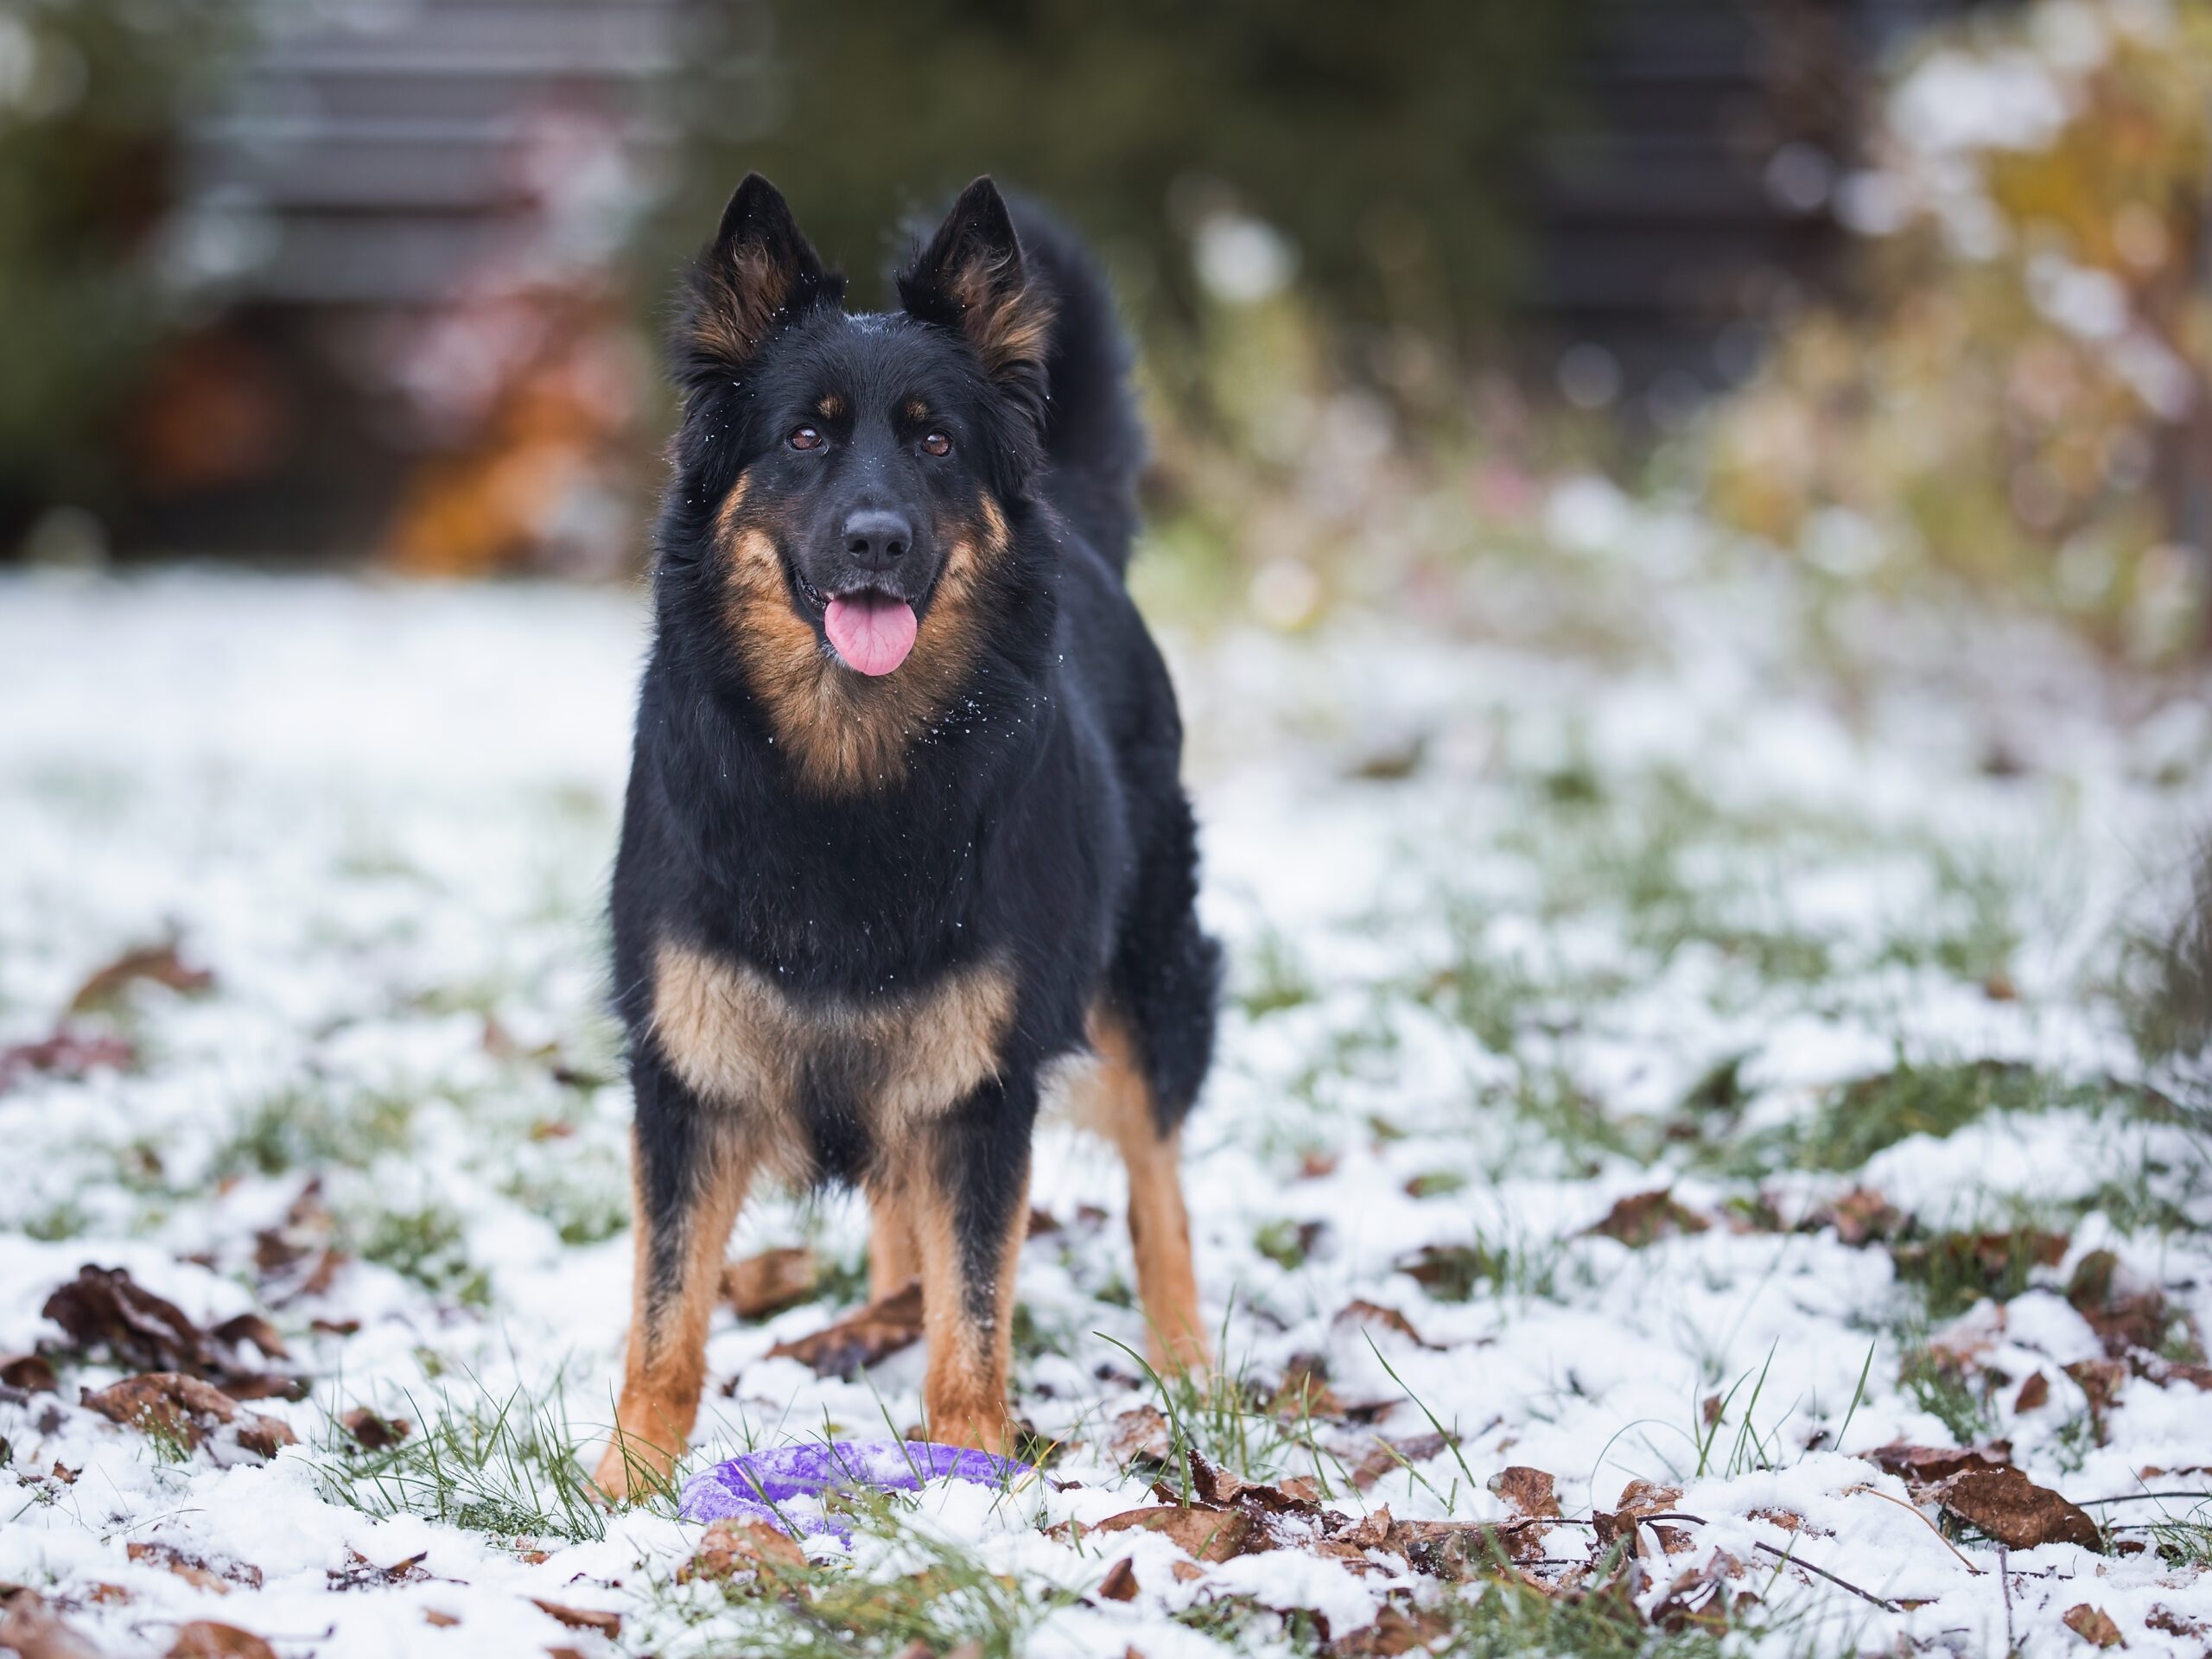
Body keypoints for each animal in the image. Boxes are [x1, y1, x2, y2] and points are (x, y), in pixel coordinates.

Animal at [597, 175, 1221, 1503]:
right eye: (805, 438)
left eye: (936, 443)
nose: (877, 539)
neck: (845, 779)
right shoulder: (690, 1075)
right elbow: (666, 1316)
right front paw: (623, 1489)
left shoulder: (980, 1088)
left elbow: (976, 1315)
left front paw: (970, 1469)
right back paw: (867, 1325)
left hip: (1150, 978)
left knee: (1156, 1181)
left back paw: (1189, 1359)